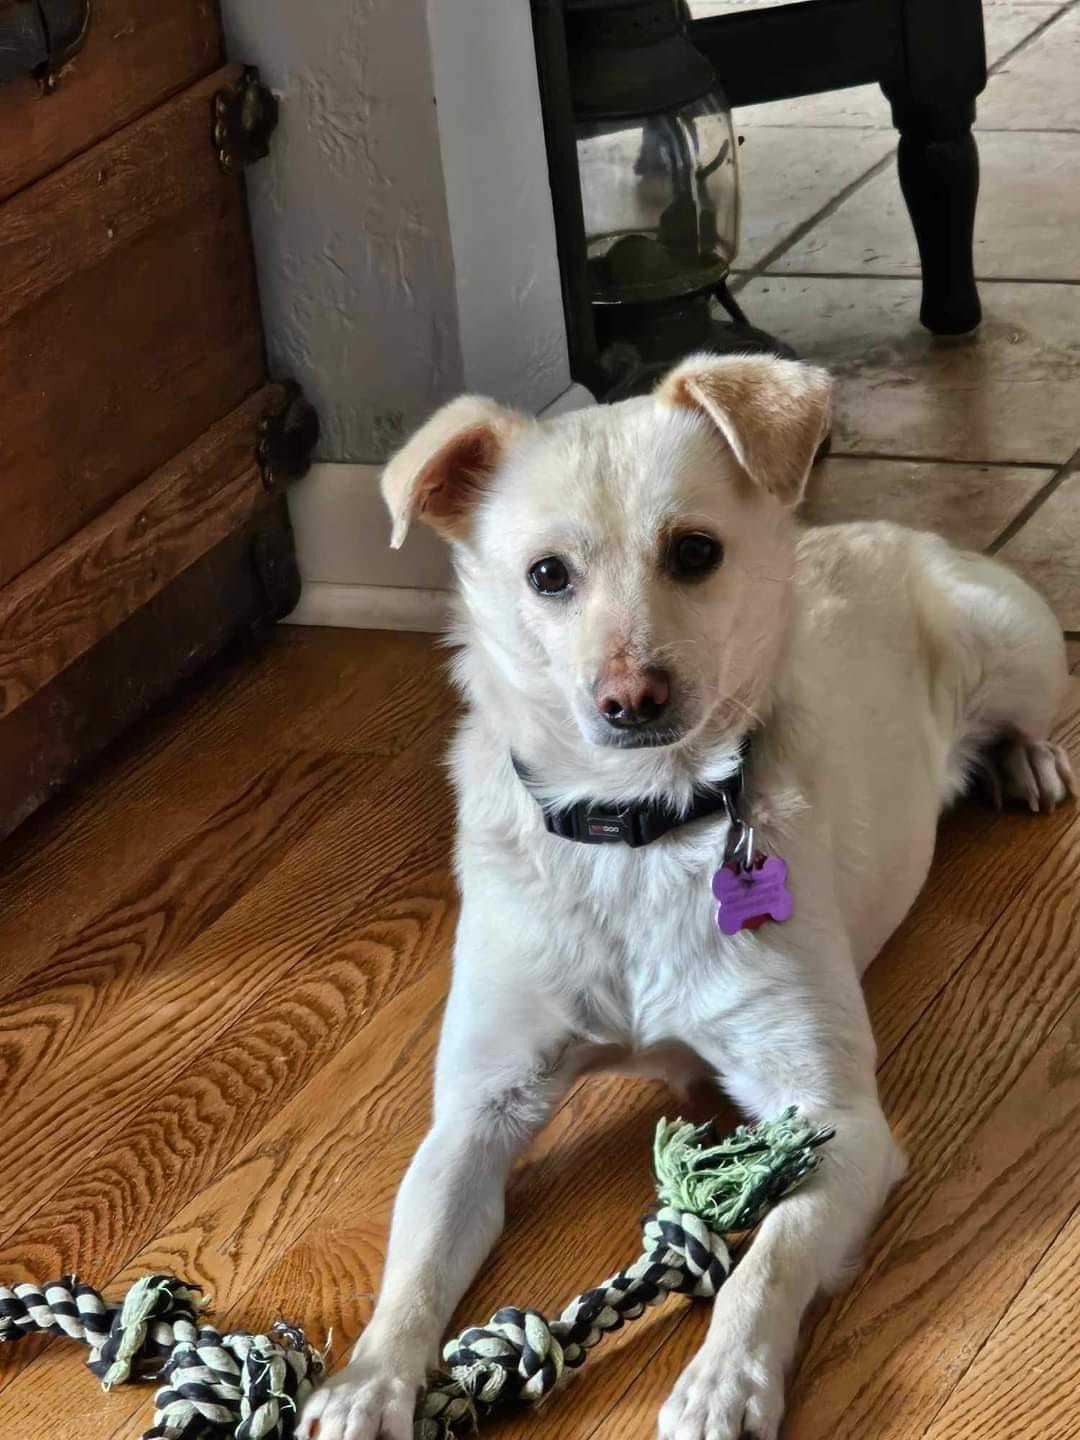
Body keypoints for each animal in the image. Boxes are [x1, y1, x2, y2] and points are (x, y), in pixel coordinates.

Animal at [300, 354, 1077, 1440]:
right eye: (547, 575)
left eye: (696, 552)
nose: (631, 698)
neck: (639, 825)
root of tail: (890, 529)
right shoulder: (475, 1114)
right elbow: (413, 1272)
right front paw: (367, 1384)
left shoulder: (837, 1119)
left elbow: (771, 1258)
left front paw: (724, 1379)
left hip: (1013, 648)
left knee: (1032, 713)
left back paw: (1027, 760)